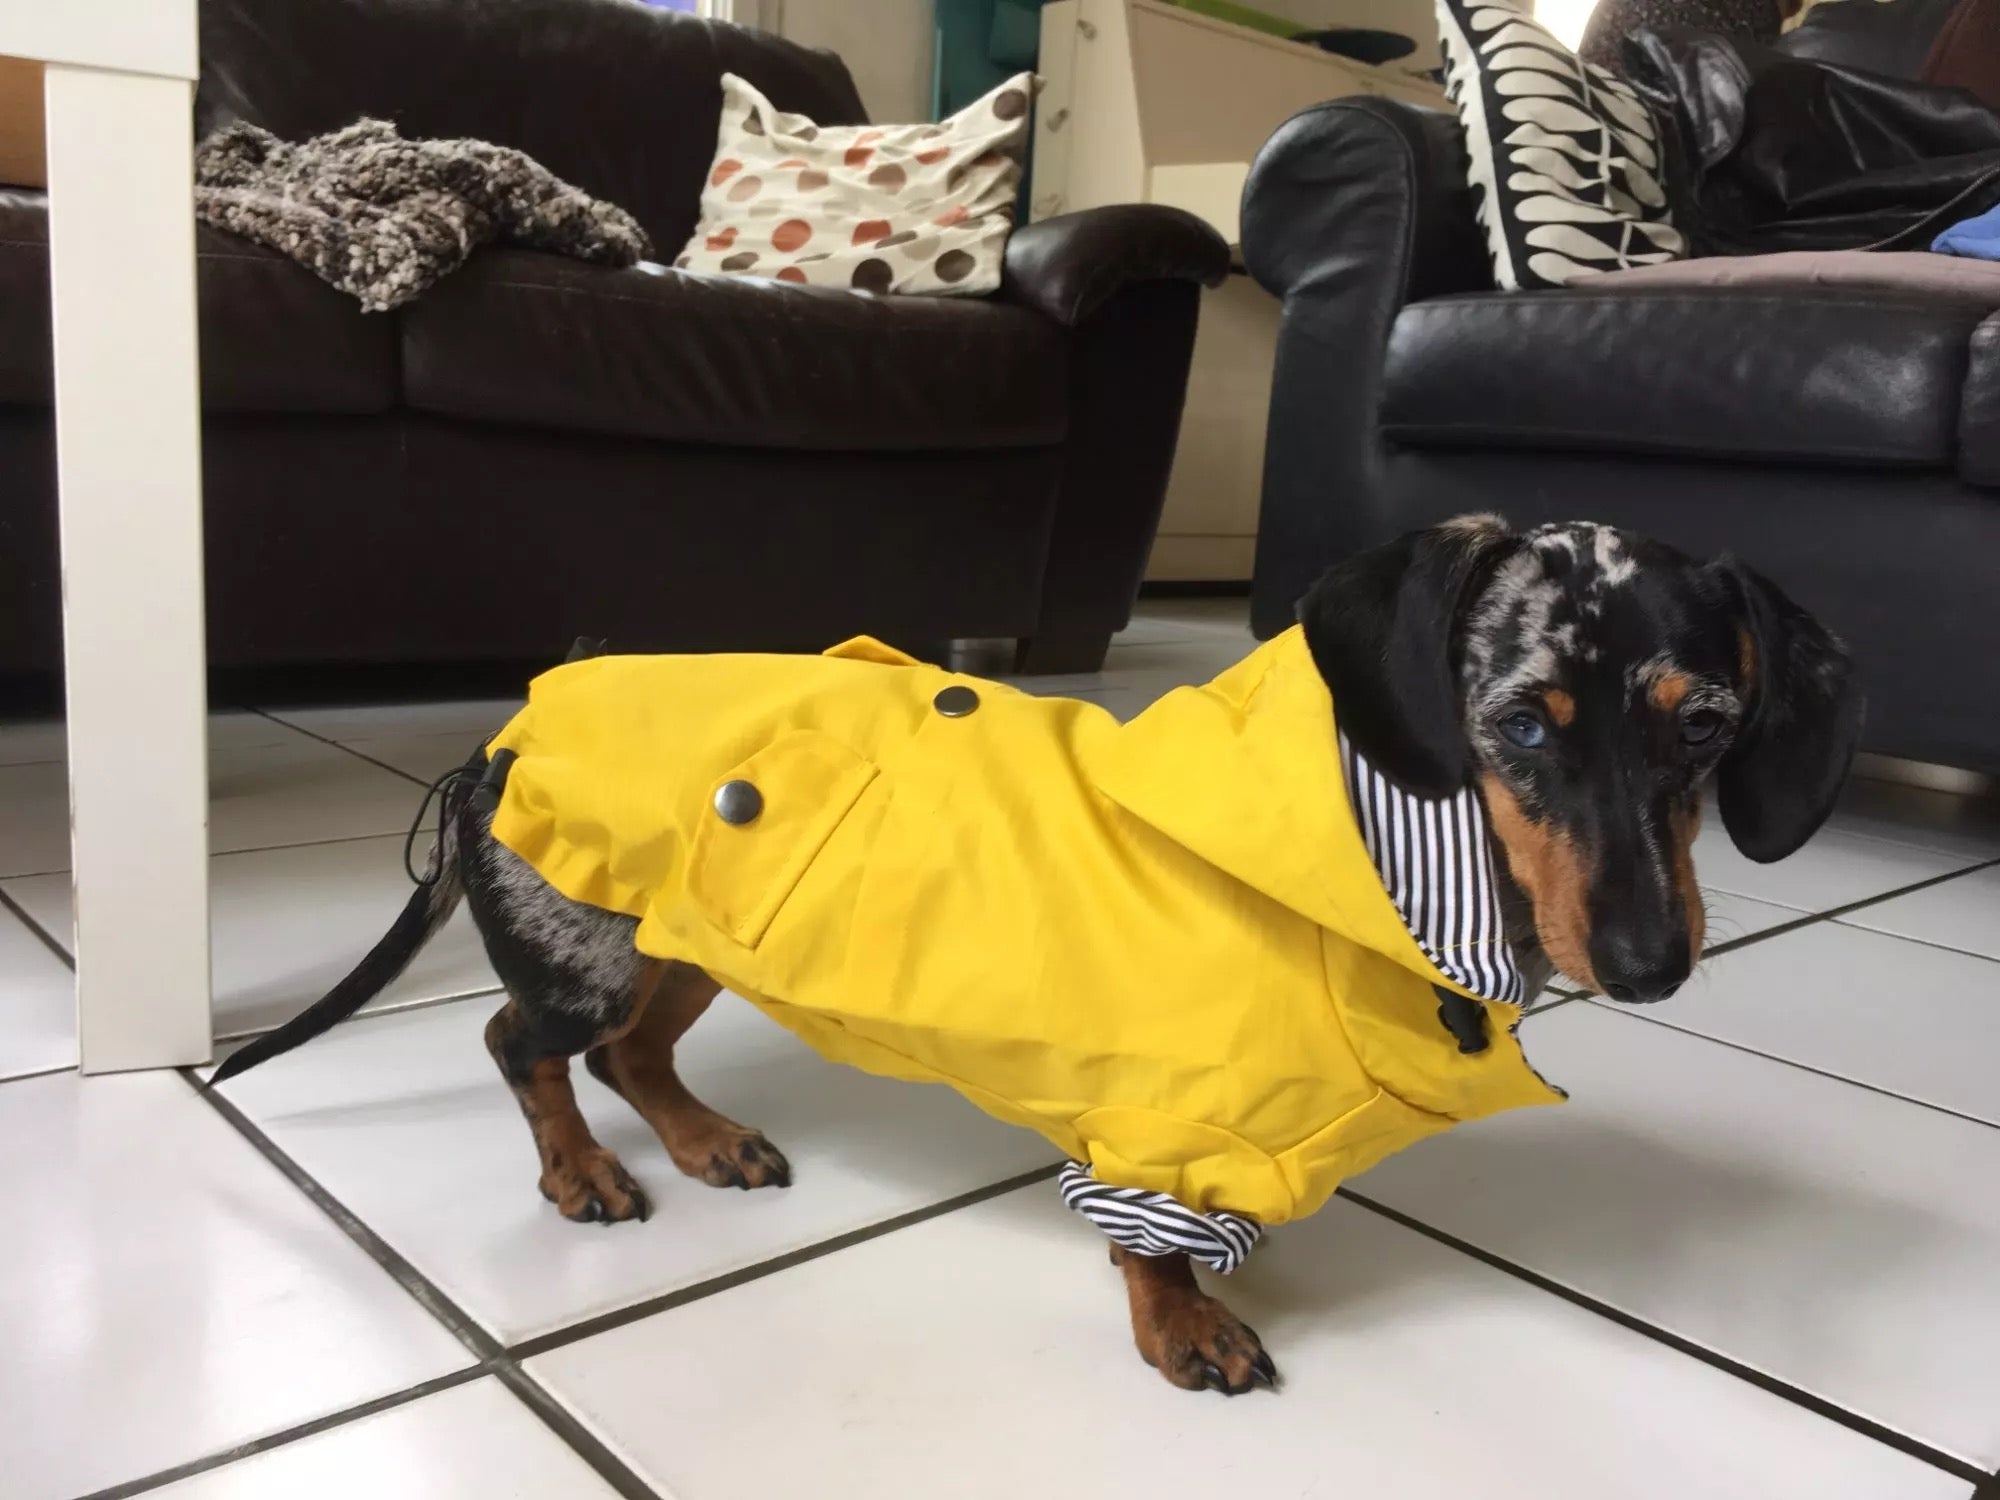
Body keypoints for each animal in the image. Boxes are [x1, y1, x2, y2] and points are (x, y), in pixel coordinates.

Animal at [207, 516, 1856, 1400]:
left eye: (1707, 727)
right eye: (1521, 722)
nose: (1650, 965)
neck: (1374, 866)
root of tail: (504, 733)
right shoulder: (1157, 1132)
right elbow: (1151, 1243)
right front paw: (1183, 1325)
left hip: (693, 936)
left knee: (632, 1051)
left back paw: (701, 1139)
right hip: (593, 937)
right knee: (526, 1044)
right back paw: (581, 1173)